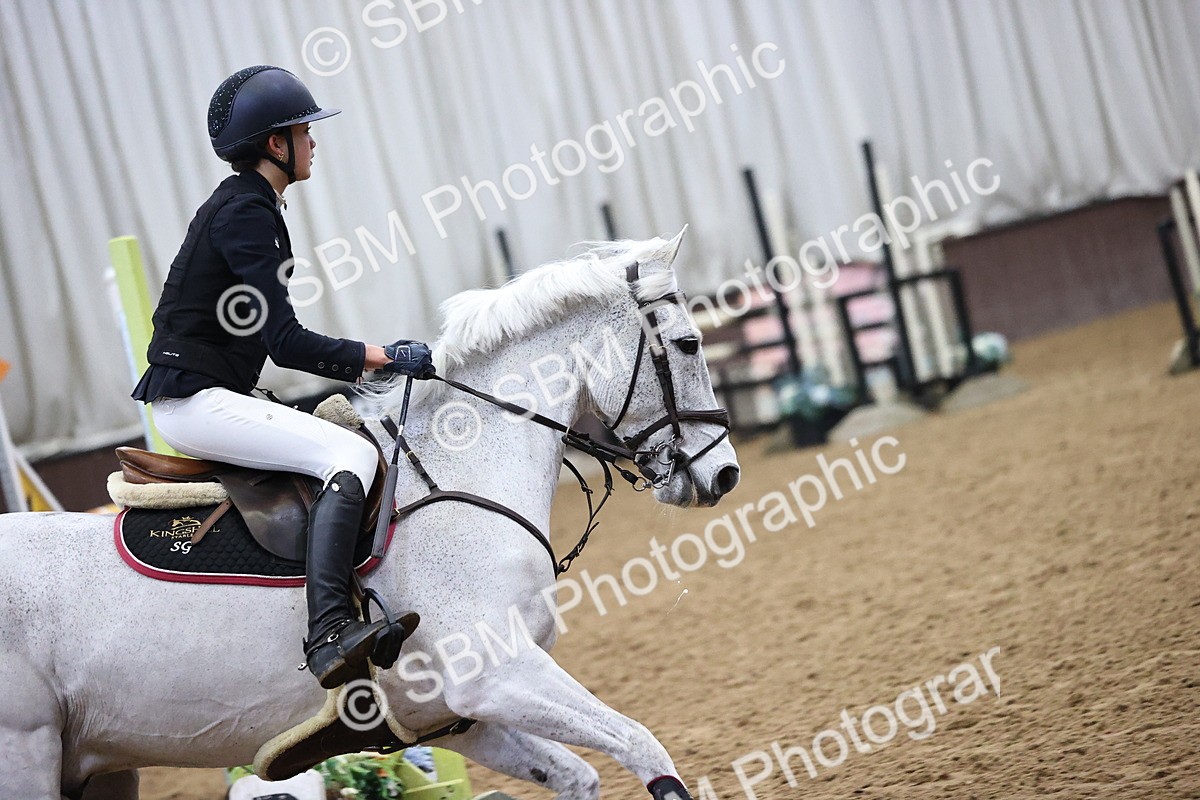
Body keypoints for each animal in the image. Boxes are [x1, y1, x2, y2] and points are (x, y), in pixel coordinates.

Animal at [0, 229, 740, 800]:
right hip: (28, 752)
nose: (725, 474)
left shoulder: (456, 715)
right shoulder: (499, 676)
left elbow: (578, 776)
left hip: (99, 764)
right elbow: (643, 747)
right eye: (688, 345)